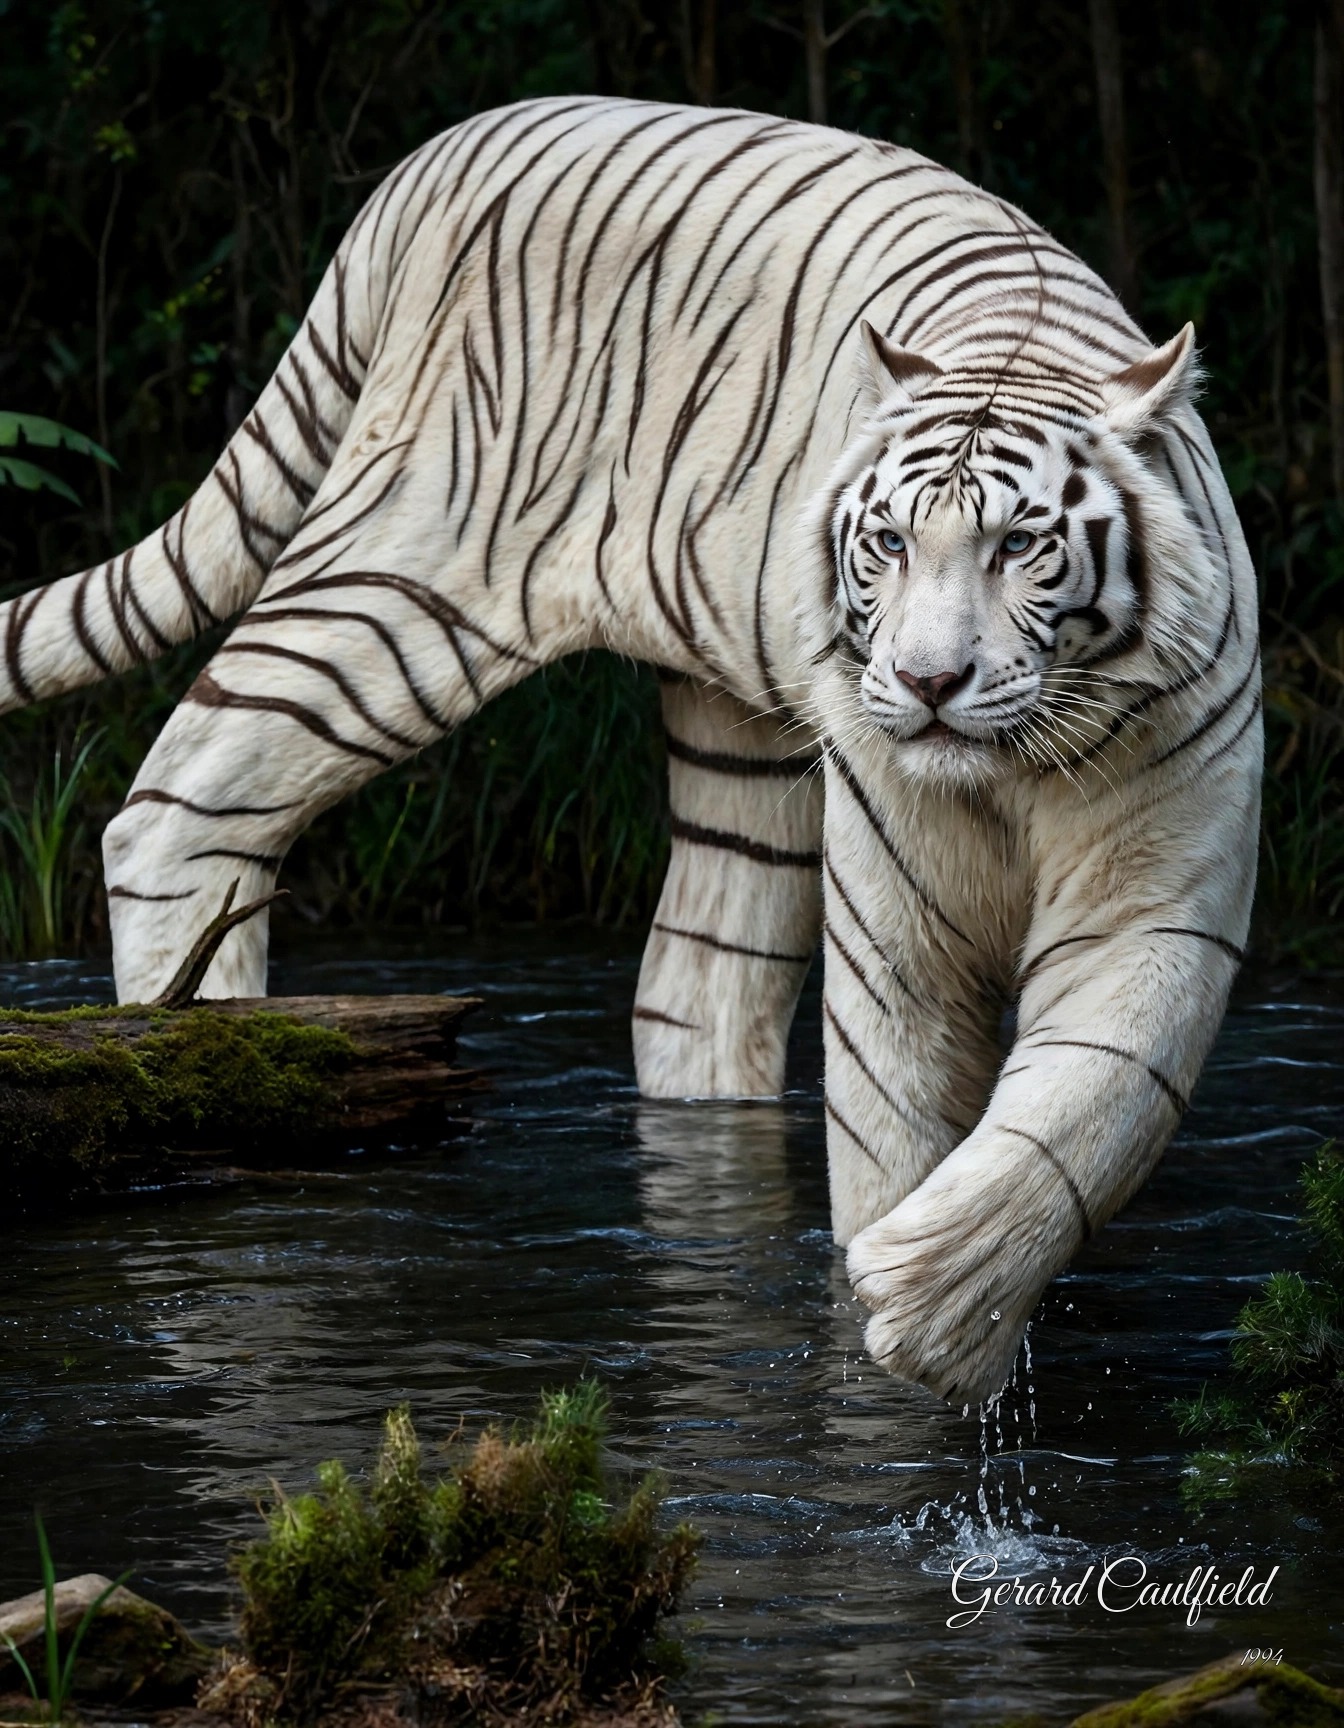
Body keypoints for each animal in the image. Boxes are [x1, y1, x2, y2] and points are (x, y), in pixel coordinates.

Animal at [0, 96, 1262, 1406]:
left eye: (1020, 545)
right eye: (889, 543)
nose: (925, 684)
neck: (1008, 773)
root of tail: (444, 149)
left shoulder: (1157, 896)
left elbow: (1094, 1099)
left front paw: (938, 1302)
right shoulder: (894, 923)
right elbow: (890, 1114)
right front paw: (893, 1323)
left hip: (743, 752)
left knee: (696, 982)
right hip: (401, 583)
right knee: (180, 799)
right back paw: (210, 1059)